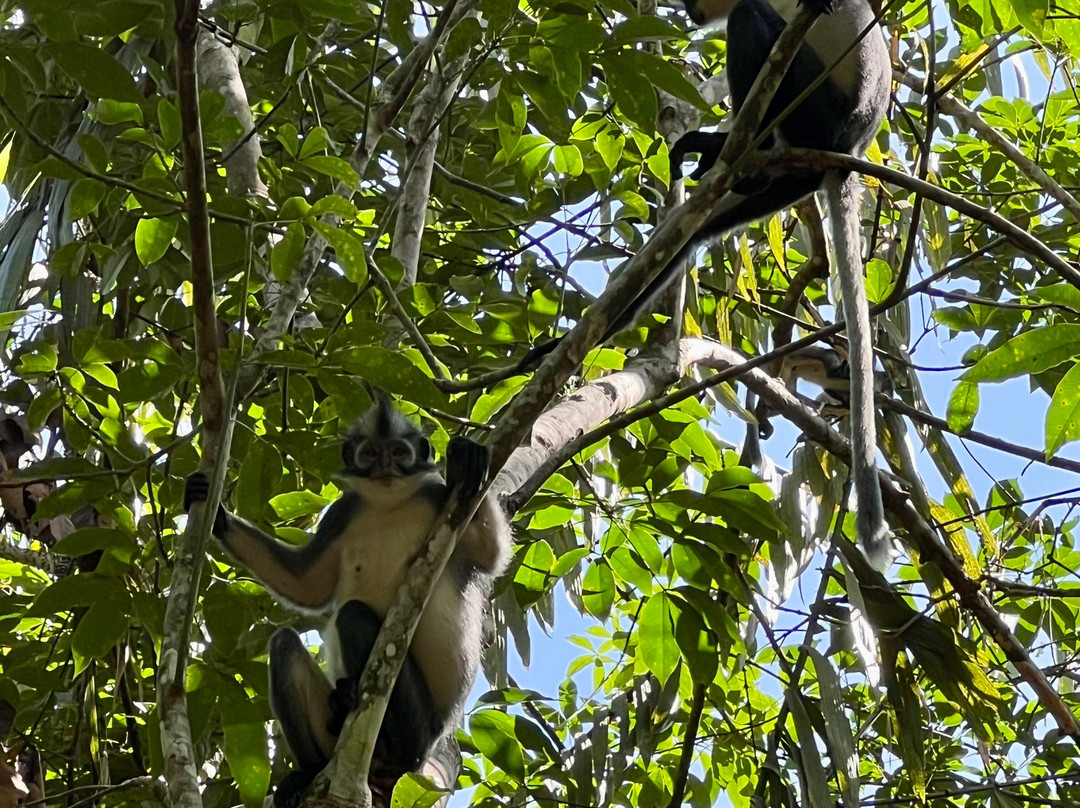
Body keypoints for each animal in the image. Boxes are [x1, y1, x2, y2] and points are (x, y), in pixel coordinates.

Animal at [184, 399, 511, 808]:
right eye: (370, 453)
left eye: (398, 453)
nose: (385, 468)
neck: (389, 504)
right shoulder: (342, 513)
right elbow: (306, 585)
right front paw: (216, 515)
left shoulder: (437, 499)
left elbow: (490, 554)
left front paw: (466, 459)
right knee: (287, 643)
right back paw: (310, 767)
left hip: (421, 732)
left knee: (353, 616)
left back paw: (388, 744)